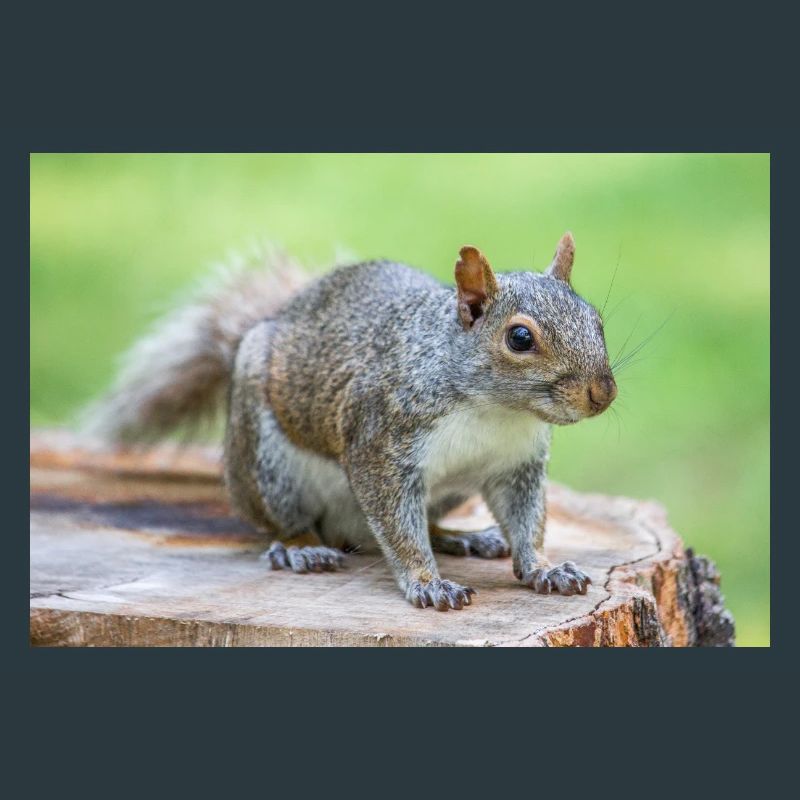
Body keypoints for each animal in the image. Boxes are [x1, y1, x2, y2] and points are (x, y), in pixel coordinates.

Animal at [89, 233, 617, 611]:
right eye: (520, 338)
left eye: (597, 320)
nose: (603, 394)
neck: (496, 411)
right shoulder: (380, 444)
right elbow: (398, 528)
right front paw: (427, 583)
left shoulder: (516, 465)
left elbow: (527, 522)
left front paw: (544, 568)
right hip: (267, 464)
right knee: (284, 521)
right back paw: (301, 548)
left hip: (449, 491)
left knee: (416, 523)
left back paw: (461, 537)